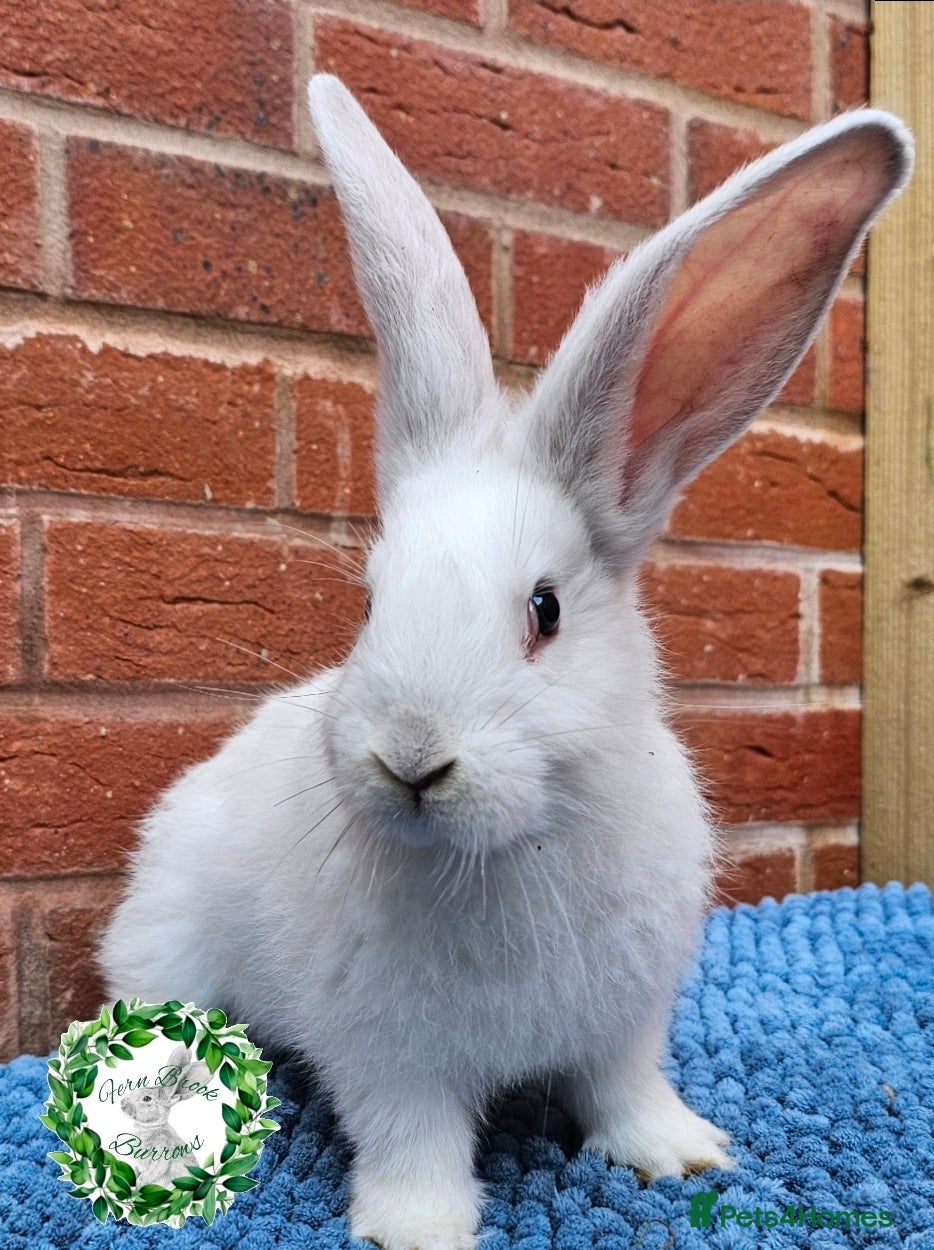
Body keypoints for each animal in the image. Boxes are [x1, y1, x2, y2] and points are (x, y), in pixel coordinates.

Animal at [116, 1045, 212, 1189]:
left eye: (147, 1098)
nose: (122, 1104)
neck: (151, 1127)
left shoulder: (160, 1155)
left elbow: (152, 1172)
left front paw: (139, 1186)